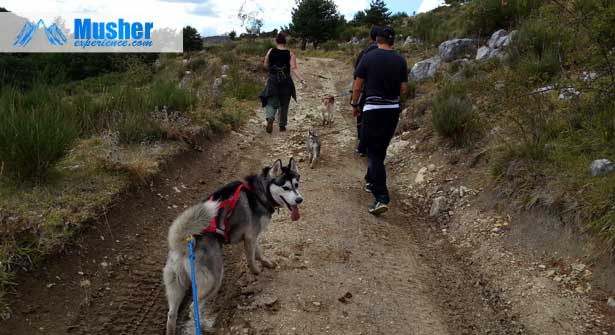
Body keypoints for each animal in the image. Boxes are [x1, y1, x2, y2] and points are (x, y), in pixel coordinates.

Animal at [164, 159, 304, 334]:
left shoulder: (254, 236)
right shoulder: (250, 236)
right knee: (192, 309)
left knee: (172, 314)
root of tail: (184, 243)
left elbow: (259, 251)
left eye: (297, 184)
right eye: (285, 187)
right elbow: (251, 257)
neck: (259, 193)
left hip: (176, 286)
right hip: (213, 280)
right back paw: (204, 327)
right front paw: (256, 271)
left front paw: (266, 262)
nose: (299, 200)